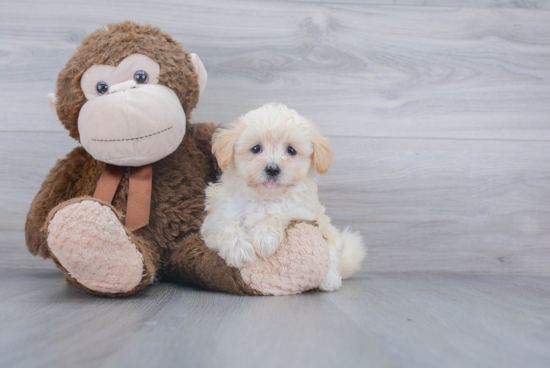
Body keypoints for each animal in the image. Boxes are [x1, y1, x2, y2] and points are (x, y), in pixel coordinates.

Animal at [201, 103, 368, 290]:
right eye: (256, 148)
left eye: (291, 150)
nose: (272, 169)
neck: (265, 198)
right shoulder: (218, 216)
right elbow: (227, 226)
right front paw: (240, 250)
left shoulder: (302, 212)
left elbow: (278, 214)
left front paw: (264, 236)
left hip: (330, 235)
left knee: (332, 257)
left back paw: (329, 280)